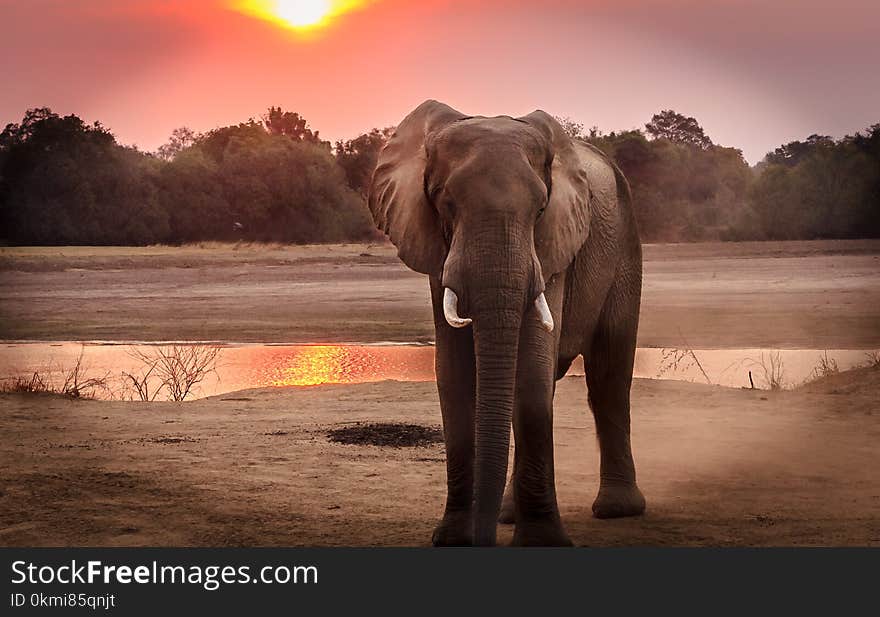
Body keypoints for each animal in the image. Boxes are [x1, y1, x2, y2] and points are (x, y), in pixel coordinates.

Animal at [368, 102, 644, 548]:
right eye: (446, 203)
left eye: (541, 209)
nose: (482, 539)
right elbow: (454, 375)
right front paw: (453, 538)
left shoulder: (552, 247)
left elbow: (530, 370)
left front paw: (542, 542)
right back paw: (508, 514)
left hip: (625, 246)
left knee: (609, 375)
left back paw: (617, 510)